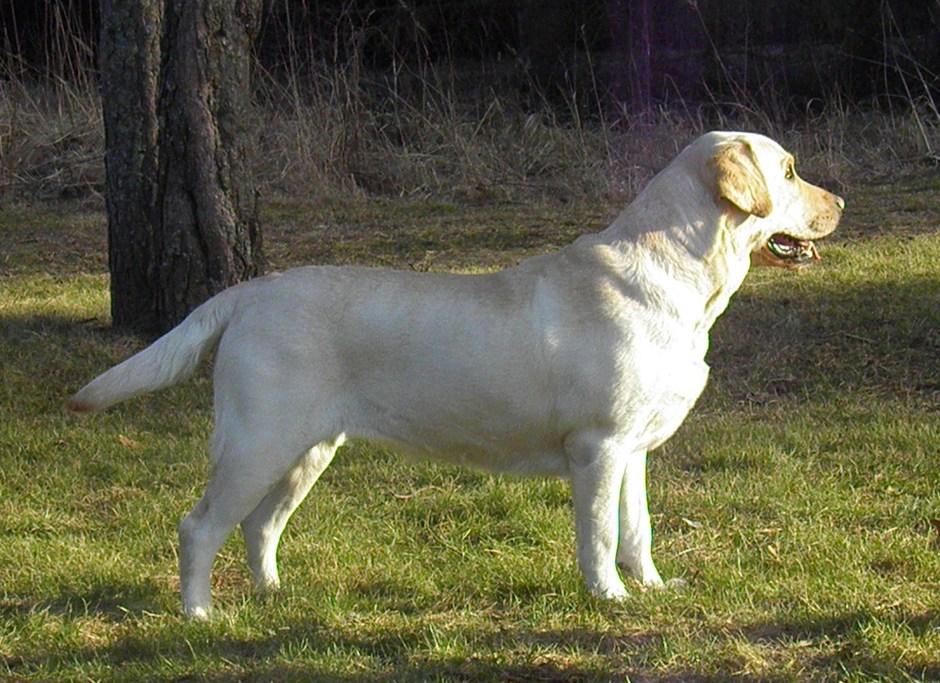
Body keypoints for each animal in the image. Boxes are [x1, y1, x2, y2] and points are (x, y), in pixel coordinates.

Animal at [68, 131, 843, 619]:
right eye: (790, 171)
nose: (840, 203)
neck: (681, 275)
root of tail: (247, 292)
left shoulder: (632, 450)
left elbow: (638, 529)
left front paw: (651, 587)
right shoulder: (597, 447)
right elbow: (597, 536)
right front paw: (609, 602)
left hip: (308, 450)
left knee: (260, 526)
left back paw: (273, 596)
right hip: (257, 442)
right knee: (199, 527)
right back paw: (200, 614)